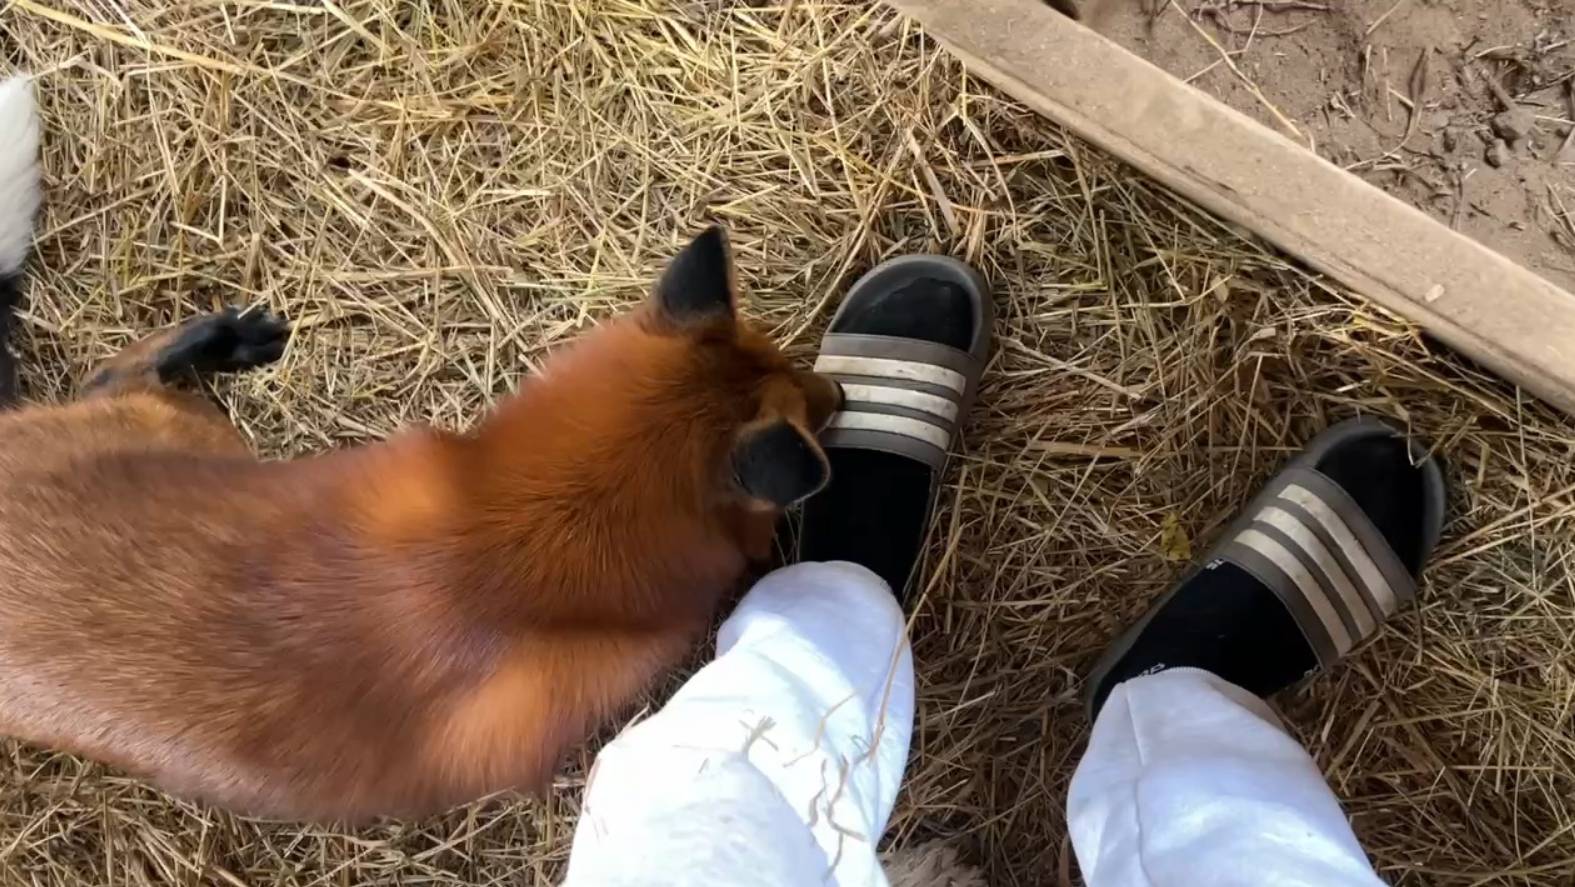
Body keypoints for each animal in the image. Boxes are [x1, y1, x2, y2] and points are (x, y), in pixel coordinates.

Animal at [0, 78, 842, 821]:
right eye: (807, 402)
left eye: (792, 367)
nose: (840, 389)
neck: (513, 538)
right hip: (205, 432)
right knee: (119, 370)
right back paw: (229, 340)